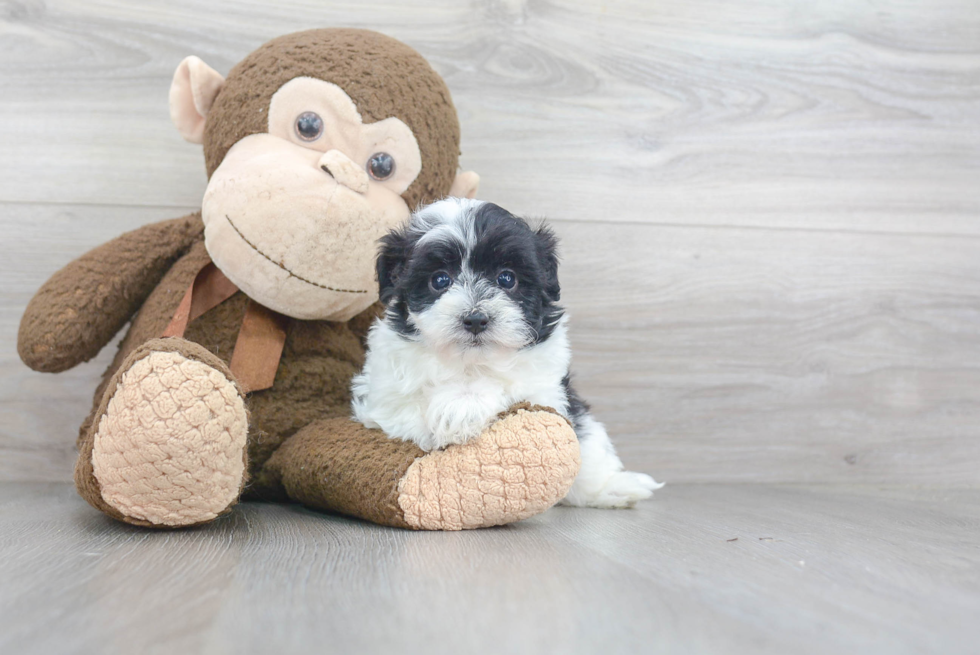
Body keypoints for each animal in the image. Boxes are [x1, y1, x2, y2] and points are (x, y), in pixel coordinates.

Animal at [348, 199, 664, 508]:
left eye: (507, 279)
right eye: (439, 280)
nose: (476, 319)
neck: (470, 362)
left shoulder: (545, 385)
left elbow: (514, 387)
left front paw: (463, 405)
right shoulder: (385, 396)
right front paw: (456, 410)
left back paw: (616, 487)